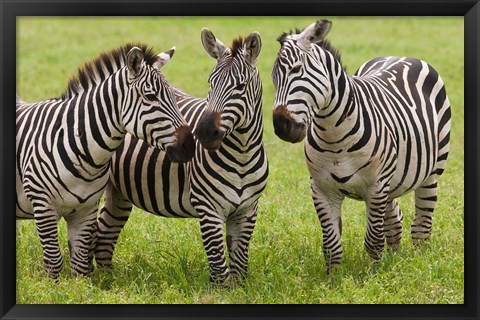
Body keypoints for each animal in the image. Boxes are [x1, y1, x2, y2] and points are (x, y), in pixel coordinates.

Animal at [15, 43, 194, 278]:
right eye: (150, 97)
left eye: (174, 96)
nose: (190, 145)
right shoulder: (42, 204)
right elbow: (53, 262)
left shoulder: (86, 209)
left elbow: (80, 266)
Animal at [95, 28, 268, 284]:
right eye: (210, 82)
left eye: (241, 86)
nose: (203, 132)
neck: (242, 154)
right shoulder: (208, 208)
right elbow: (219, 266)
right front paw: (219, 290)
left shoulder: (247, 210)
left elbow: (239, 265)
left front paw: (240, 288)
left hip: (119, 192)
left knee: (105, 233)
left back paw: (106, 281)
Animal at [272, 20, 452, 274]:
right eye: (273, 76)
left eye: (296, 70)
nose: (282, 126)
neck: (334, 136)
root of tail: (401, 55)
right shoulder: (321, 189)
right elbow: (331, 244)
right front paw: (333, 278)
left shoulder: (376, 186)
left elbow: (373, 240)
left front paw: (374, 274)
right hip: (392, 181)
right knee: (395, 220)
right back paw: (395, 258)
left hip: (431, 173)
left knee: (421, 226)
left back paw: (420, 262)